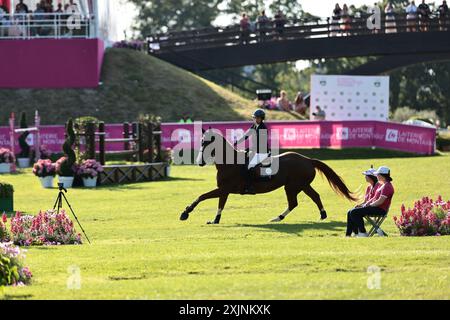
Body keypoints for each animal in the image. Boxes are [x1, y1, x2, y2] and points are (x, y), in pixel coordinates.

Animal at [178, 129, 356, 224]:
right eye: (202, 142)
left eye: (207, 143)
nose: (199, 162)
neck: (229, 163)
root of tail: (307, 160)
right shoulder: (224, 190)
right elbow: (219, 204)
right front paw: (215, 220)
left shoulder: (224, 189)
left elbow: (202, 196)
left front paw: (185, 213)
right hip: (302, 185)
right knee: (314, 196)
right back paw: (321, 215)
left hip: (292, 186)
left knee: (294, 202)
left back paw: (277, 218)